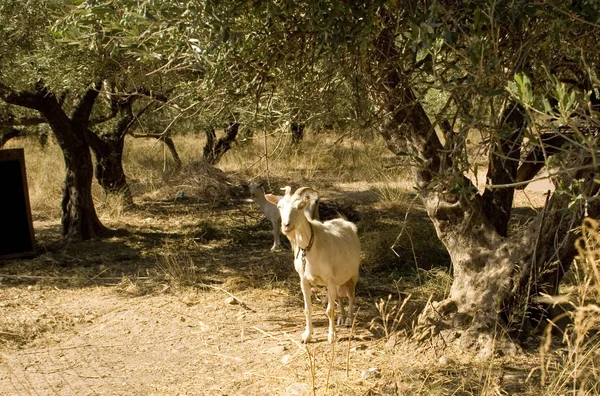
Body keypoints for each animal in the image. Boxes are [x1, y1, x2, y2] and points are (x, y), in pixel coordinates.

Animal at [264, 186, 358, 344]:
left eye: (301, 206)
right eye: (279, 206)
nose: (286, 225)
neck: (310, 246)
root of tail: (344, 221)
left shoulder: (329, 279)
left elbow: (329, 310)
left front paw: (332, 336)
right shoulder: (304, 280)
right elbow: (308, 309)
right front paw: (307, 336)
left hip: (353, 275)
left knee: (351, 297)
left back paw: (349, 320)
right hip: (339, 278)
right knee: (340, 296)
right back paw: (342, 317)